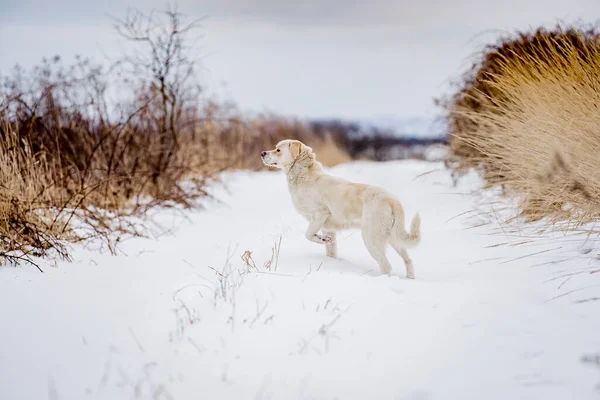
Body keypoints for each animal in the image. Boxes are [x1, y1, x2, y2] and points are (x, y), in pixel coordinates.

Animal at [262, 138, 422, 278]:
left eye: (278, 150)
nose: (262, 153)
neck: (304, 174)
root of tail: (392, 200)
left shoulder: (320, 214)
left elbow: (308, 234)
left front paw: (321, 239)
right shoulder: (328, 228)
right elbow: (331, 250)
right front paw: (326, 244)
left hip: (371, 238)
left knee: (386, 266)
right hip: (393, 238)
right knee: (408, 260)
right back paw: (410, 278)